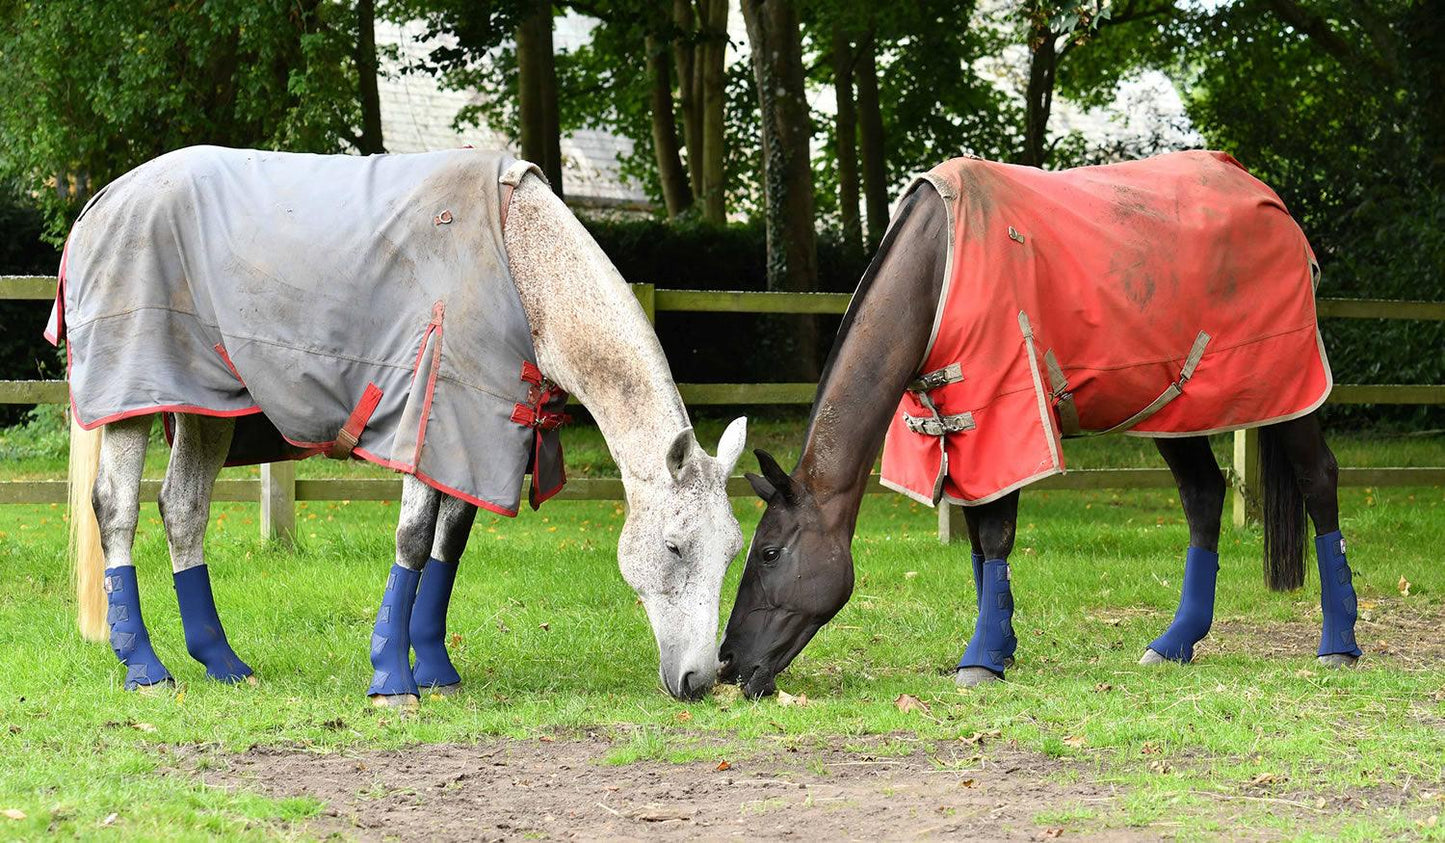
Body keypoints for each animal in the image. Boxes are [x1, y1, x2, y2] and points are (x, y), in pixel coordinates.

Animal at [59, 146, 745, 705]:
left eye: (733, 551)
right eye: (675, 547)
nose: (699, 680)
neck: (522, 261)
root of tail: (103, 200)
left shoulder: (478, 434)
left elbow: (449, 544)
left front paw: (436, 671)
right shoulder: (429, 413)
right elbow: (414, 540)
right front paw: (392, 679)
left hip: (205, 409)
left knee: (183, 511)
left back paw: (222, 663)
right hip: (134, 397)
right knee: (116, 510)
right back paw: (145, 669)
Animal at [722, 153, 1364, 699]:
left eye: (770, 553)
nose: (729, 664)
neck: (938, 267)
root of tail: (1271, 202)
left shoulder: (1003, 415)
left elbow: (996, 537)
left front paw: (981, 661)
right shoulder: (965, 430)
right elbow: (978, 544)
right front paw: (998, 647)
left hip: (1287, 390)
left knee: (1319, 480)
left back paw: (1338, 645)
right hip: (1176, 409)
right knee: (1203, 496)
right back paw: (1174, 644)